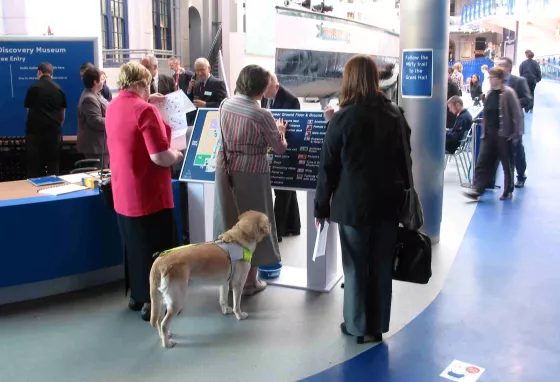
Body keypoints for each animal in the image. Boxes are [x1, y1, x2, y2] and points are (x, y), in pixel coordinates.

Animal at [149, 210, 272, 348]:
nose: (272, 225)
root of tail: (159, 261)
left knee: (158, 320)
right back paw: (167, 343)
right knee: (164, 323)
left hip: (162, 299)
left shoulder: (224, 283)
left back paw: (164, 335)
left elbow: (223, 299)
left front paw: (226, 310)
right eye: (268, 221)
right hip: (176, 300)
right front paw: (239, 315)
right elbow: (237, 304)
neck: (240, 237)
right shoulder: (238, 283)